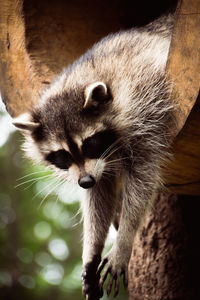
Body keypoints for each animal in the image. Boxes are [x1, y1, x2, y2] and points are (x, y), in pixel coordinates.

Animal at [12, 13, 175, 298]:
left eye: (89, 144)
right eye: (62, 156)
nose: (85, 181)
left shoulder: (147, 105)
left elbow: (143, 178)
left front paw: (124, 240)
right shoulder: (94, 167)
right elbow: (99, 196)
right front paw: (91, 248)